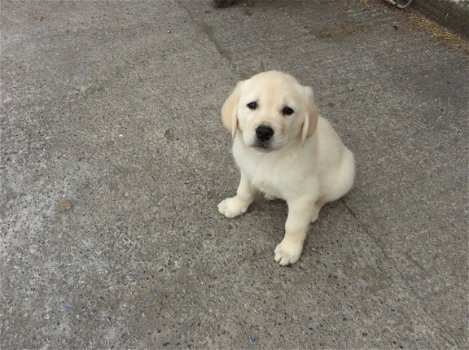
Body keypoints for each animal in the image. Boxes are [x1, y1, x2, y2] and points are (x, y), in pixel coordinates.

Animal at [218, 69, 354, 264]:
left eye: (288, 110)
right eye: (252, 105)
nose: (264, 131)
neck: (267, 158)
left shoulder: (303, 196)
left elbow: (294, 225)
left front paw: (289, 249)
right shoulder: (247, 172)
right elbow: (243, 192)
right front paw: (235, 205)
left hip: (345, 176)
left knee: (323, 198)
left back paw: (312, 211)